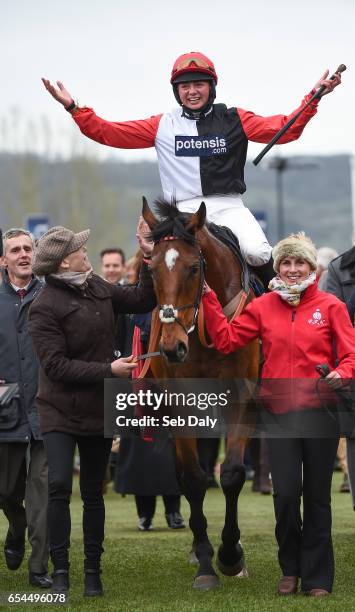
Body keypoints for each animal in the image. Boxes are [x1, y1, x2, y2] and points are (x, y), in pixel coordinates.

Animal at [140, 198, 260, 592]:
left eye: (194, 268)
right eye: (151, 269)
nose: (172, 347)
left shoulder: (242, 398)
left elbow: (233, 473)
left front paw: (231, 554)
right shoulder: (181, 404)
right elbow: (192, 478)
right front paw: (206, 562)